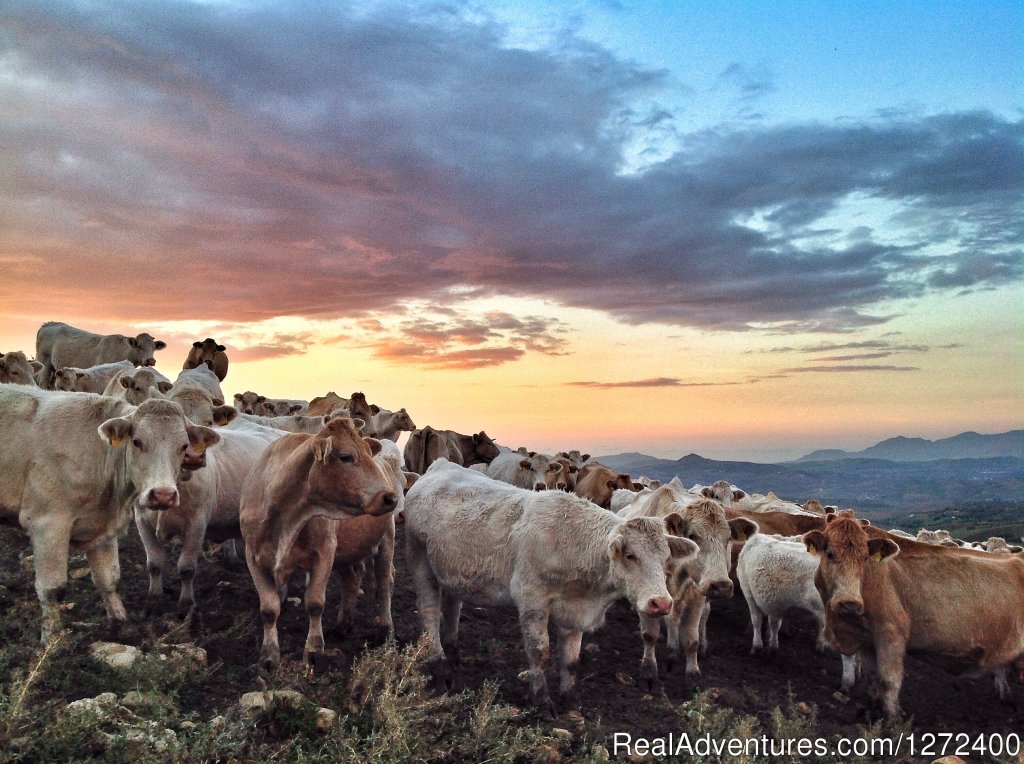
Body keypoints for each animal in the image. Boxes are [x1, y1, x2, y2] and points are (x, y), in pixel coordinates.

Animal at [0, 389, 218, 639]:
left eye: (183, 446)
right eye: (137, 441)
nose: (163, 495)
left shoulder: (104, 528)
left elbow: (109, 580)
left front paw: (121, 624)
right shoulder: (48, 524)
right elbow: (52, 590)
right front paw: (52, 641)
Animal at [239, 415, 399, 671]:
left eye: (367, 452)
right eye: (345, 456)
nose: (389, 498)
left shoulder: (325, 552)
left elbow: (315, 603)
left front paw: (313, 651)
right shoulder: (253, 556)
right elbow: (269, 608)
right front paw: (269, 657)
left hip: (386, 538)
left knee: (384, 583)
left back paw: (386, 631)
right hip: (347, 551)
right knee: (352, 580)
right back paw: (343, 625)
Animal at [399, 458, 696, 712]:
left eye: (666, 557)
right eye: (630, 555)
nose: (661, 603)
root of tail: (439, 467)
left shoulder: (574, 609)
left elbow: (572, 659)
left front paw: (569, 698)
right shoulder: (532, 601)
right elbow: (539, 652)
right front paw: (541, 700)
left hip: (451, 570)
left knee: (452, 607)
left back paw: (454, 654)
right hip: (419, 559)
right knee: (428, 611)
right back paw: (440, 667)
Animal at [802, 507, 1024, 716]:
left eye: (865, 558)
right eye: (830, 554)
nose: (849, 602)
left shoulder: (891, 633)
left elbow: (888, 681)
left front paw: (893, 721)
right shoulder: (865, 639)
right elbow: (873, 678)